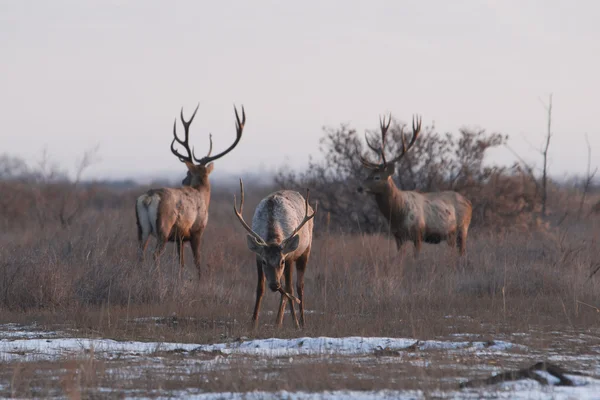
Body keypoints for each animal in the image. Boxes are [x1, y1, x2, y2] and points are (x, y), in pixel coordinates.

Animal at [136, 104, 246, 278]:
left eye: (187, 173)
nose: (183, 180)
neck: (203, 196)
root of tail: (148, 198)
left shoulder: (180, 237)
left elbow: (181, 263)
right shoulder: (197, 231)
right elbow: (197, 261)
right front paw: (200, 280)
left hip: (142, 228)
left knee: (140, 253)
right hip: (163, 227)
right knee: (155, 254)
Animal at [233, 180, 318, 330]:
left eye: (282, 261)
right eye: (264, 261)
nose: (274, 285)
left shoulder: (289, 257)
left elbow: (289, 288)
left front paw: (295, 323)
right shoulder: (257, 257)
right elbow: (260, 288)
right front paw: (253, 322)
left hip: (306, 250)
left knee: (299, 286)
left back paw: (302, 321)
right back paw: (278, 322)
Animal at [356, 112, 474, 258]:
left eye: (377, 177)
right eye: (368, 173)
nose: (359, 187)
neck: (397, 214)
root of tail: (470, 203)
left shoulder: (418, 233)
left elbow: (416, 257)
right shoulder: (398, 236)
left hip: (463, 228)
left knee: (463, 251)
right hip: (450, 236)